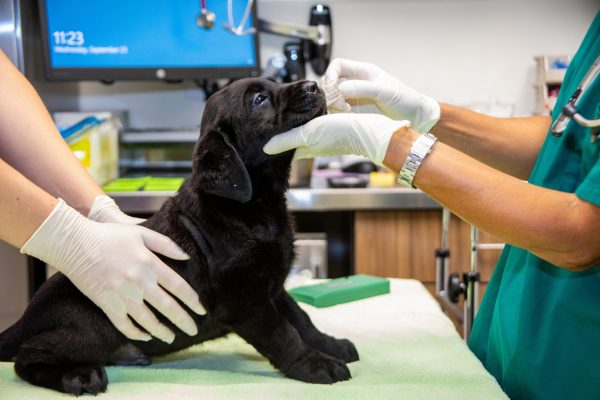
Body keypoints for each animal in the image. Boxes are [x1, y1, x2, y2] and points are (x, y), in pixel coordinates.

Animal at [0, 77, 356, 394]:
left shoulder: (273, 286)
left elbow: (301, 318)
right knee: (26, 358)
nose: (314, 85)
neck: (252, 205)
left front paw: (331, 345)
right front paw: (316, 364)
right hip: (90, 324)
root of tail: (25, 318)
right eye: (259, 100)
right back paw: (78, 376)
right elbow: (284, 334)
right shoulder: (245, 301)